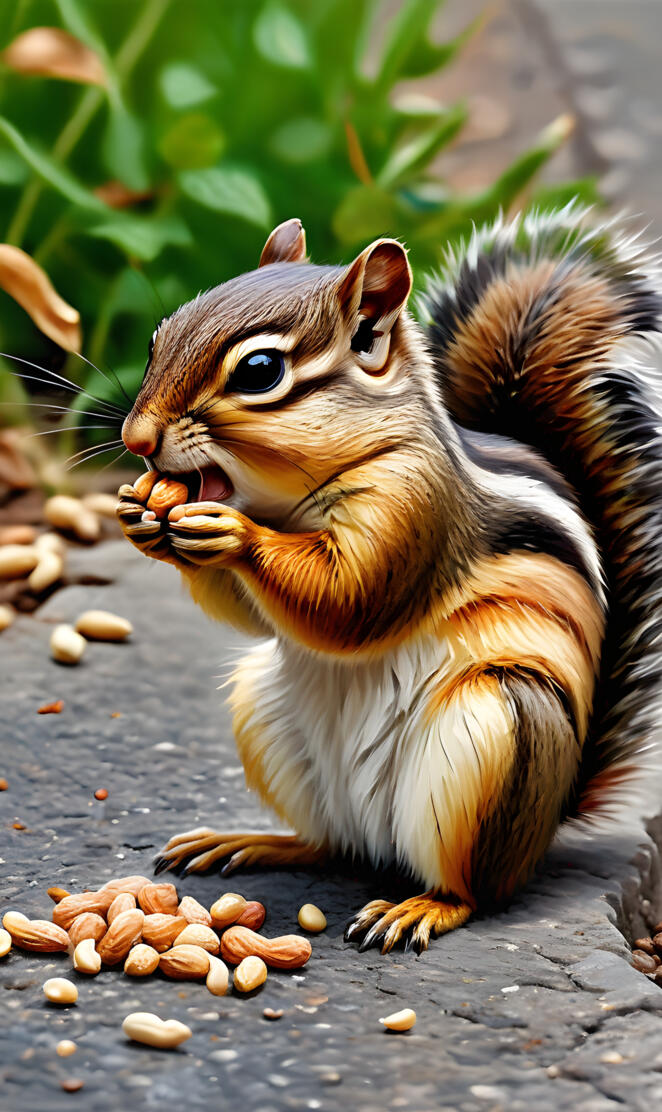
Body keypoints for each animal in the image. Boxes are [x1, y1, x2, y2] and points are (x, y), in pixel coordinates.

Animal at [117, 206, 662, 953]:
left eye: (259, 370)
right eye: (156, 339)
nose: (135, 439)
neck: (287, 502)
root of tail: (549, 820)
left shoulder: (415, 508)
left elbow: (350, 600)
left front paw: (235, 535)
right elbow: (258, 616)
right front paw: (141, 514)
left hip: (498, 737)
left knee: (473, 887)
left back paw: (422, 907)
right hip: (268, 714)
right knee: (333, 845)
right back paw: (255, 843)